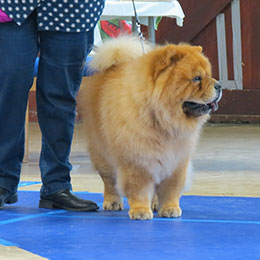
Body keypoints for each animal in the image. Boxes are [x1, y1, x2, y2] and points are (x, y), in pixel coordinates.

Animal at [79, 35, 221, 219]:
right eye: (197, 78)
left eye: (209, 75)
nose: (219, 85)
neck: (163, 121)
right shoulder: (138, 160)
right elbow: (138, 190)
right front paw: (140, 211)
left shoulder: (176, 161)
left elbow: (171, 189)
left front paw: (170, 208)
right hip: (101, 153)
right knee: (109, 181)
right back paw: (112, 202)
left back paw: (154, 204)